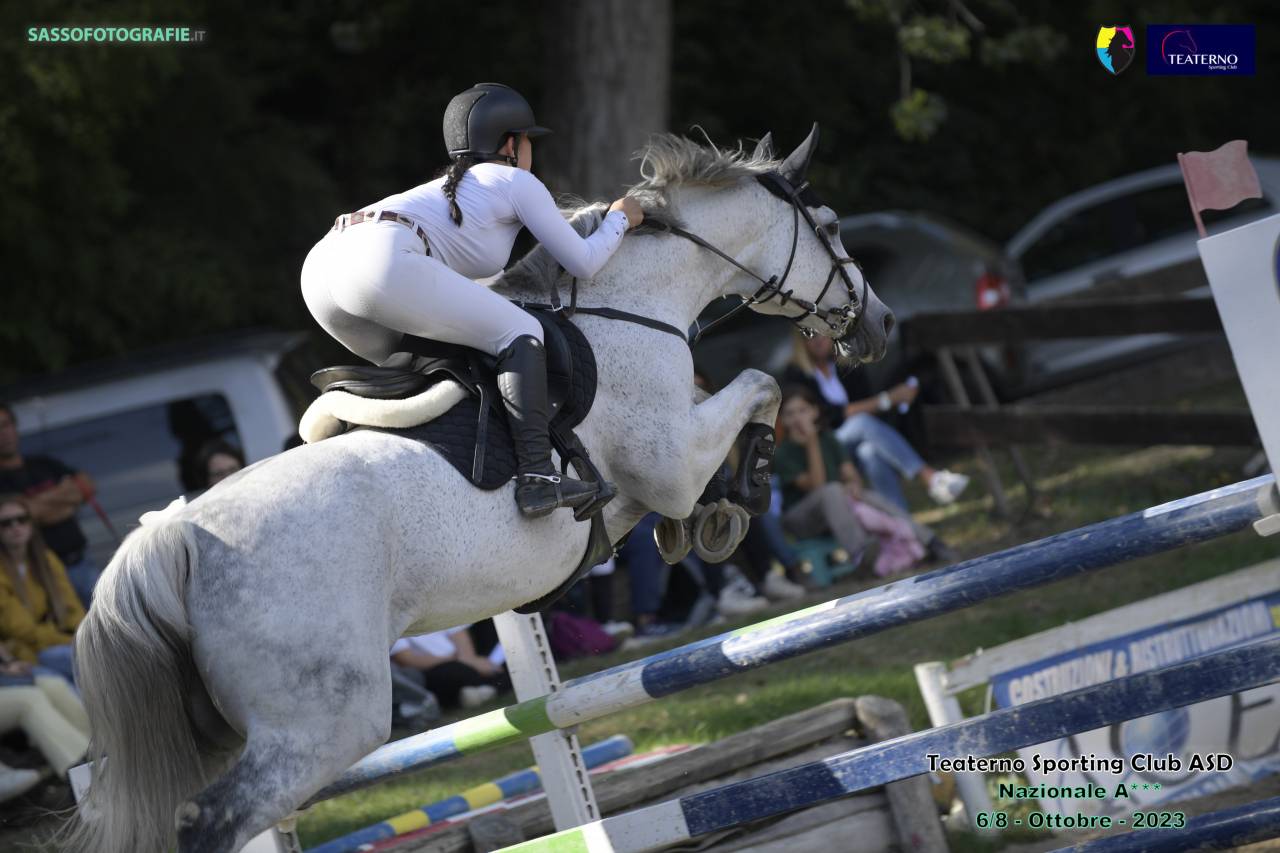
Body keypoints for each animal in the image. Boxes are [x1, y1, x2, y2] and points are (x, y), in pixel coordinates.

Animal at [66, 126, 894, 853]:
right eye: (831, 226)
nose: (880, 324)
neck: (634, 302)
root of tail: (171, 535)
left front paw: (702, 521)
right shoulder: (668, 461)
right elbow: (761, 386)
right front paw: (735, 499)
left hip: (211, 729)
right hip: (324, 723)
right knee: (210, 819)